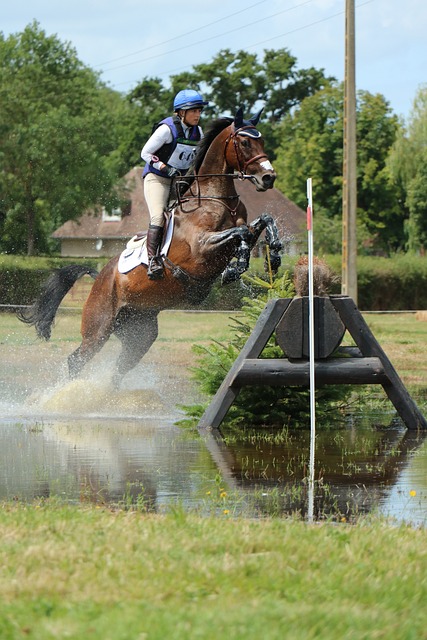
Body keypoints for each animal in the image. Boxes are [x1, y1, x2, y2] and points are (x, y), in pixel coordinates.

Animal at [19, 109, 284, 384]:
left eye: (262, 141)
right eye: (244, 142)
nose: (268, 177)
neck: (216, 198)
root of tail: (98, 277)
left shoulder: (239, 230)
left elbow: (262, 222)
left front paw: (273, 256)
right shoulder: (201, 247)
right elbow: (240, 233)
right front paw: (235, 268)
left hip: (139, 332)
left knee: (118, 369)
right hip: (98, 328)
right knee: (76, 361)